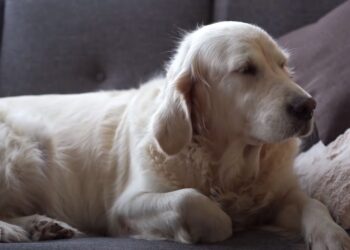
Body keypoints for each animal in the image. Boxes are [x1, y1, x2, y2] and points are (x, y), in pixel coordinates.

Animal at [0, 21, 350, 248]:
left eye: (282, 65)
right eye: (246, 69)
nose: (308, 106)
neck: (226, 166)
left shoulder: (281, 195)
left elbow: (313, 204)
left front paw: (331, 236)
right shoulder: (125, 206)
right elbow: (194, 201)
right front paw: (219, 225)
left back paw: (44, 226)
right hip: (22, 154)